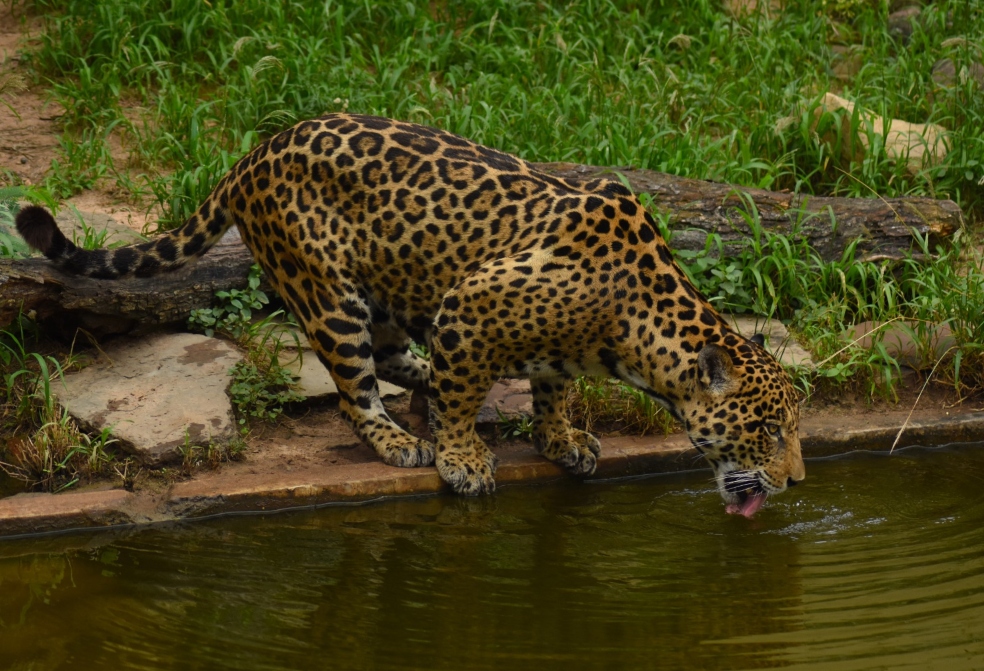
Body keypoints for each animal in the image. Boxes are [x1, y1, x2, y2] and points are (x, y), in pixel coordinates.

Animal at [16, 113, 805, 511]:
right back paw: (400, 438)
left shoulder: (528, 337)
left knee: (399, 357)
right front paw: (461, 458)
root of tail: (254, 152)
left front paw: (560, 437)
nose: (798, 481)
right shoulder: (470, 306)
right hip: (329, 292)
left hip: (393, 282)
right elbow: (460, 401)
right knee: (354, 391)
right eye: (767, 433)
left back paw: (431, 379)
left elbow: (552, 387)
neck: (631, 327)